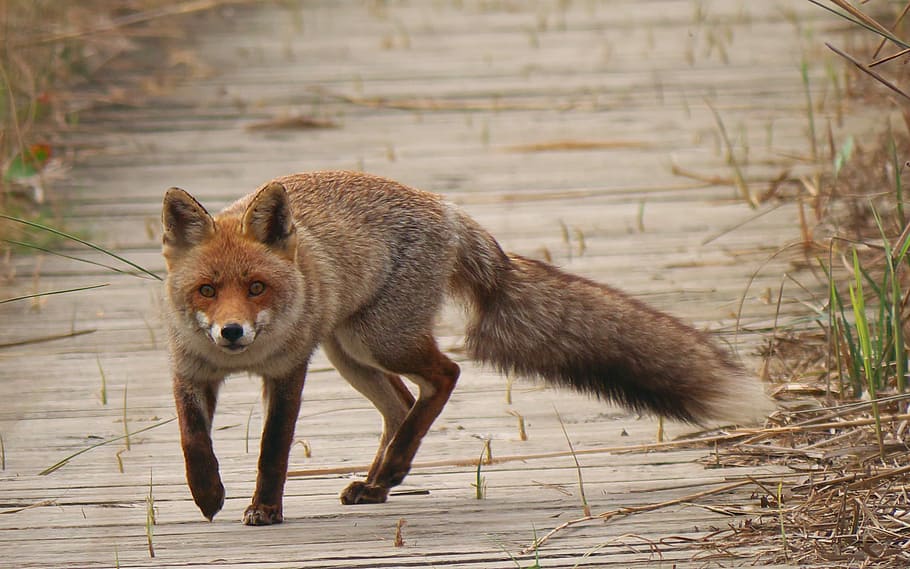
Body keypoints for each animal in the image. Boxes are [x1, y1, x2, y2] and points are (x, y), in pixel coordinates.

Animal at [161, 170, 771, 525]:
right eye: (207, 291)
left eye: (257, 288)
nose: (232, 333)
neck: (244, 362)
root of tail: (448, 208)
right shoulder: (189, 368)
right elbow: (191, 439)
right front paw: (207, 493)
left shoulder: (289, 372)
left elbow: (273, 449)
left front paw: (264, 507)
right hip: (349, 350)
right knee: (404, 405)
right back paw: (380, 482)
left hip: (375, 340)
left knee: (444, 376)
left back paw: (390, 472)